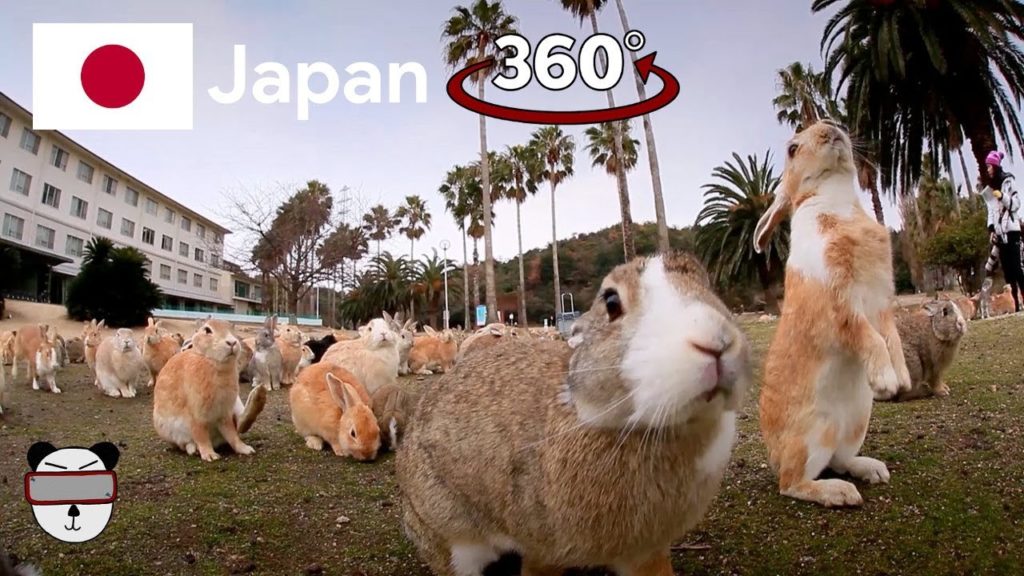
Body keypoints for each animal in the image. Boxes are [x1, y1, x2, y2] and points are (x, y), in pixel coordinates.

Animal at [153, 318, 267, 462]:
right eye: (207, 330)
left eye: (231, 328)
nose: (232, 342)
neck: (212, 361)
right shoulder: (197, 414)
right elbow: (200, 434)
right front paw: (210, 455)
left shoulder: (224, 412)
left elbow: (232, 434)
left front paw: (245, 449)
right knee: (185, 443)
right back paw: (194, 449)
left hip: (236, 403)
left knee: (240, 423)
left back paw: (259, 397)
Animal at [752, 121, 913, 508]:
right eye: (792, 149)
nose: (832, 127)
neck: (836, 202)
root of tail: (774, 456)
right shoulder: (841, 306)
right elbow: (869, 337)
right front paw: (885, 382)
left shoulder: (881, 303)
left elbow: (892, 339)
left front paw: (902, 381)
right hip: (815, 435)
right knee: (793, 483)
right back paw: (839, 493)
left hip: (856, 424)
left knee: (840, 460)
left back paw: (872, 470)